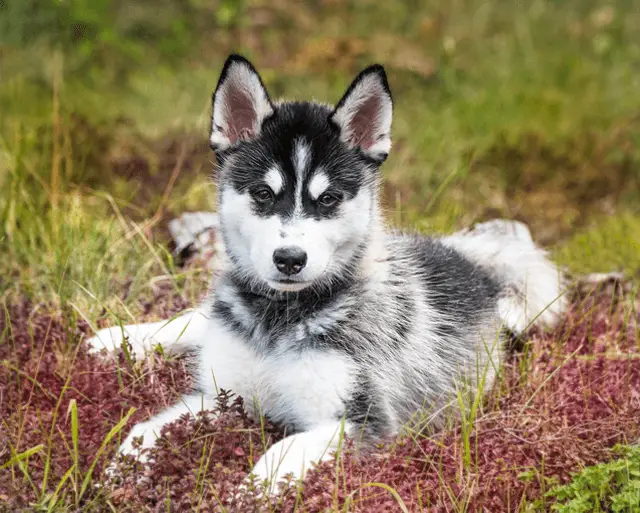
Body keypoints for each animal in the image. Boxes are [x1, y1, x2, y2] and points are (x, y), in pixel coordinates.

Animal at [89, 55, 564, 492]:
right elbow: (145, 428)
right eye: (263, 193)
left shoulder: (363, 420)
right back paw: (117, 339)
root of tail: (465, 258)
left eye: (329, 198)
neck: (278, 321)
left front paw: (245, 492)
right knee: (197, 317)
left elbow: (277, 455)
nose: (289, 259)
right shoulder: (220, 394)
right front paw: (121, 468)